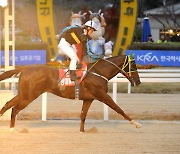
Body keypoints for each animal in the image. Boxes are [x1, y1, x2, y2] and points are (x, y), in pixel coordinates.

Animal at [0, 54, 142, 132]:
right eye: (134, 66)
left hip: (24, 94)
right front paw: (136, 124)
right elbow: (119, 109)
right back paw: (12, 129)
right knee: (15, 108)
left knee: (8, 105)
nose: (138, 81)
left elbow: (83, 115)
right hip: (29, 95)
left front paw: (82, 131)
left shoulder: (89, 99)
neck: (98, 72)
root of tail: (25, 68)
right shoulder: (102, 96)